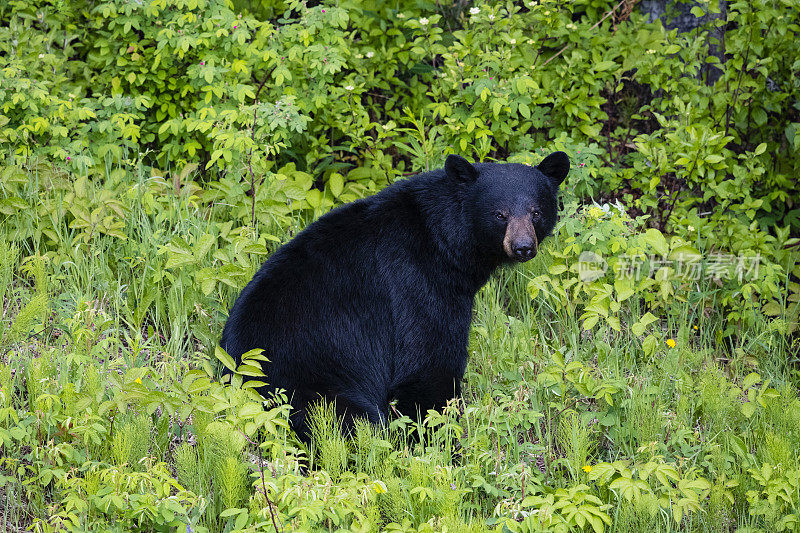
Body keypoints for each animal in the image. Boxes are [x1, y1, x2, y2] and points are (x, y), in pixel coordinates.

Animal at [219, 152, 568, 442]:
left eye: (536, 212)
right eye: (500, 214)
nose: (523, 247)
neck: (445, 240)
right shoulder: (417, 283)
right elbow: (426, 364)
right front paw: (440, 440)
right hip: (317, 379)